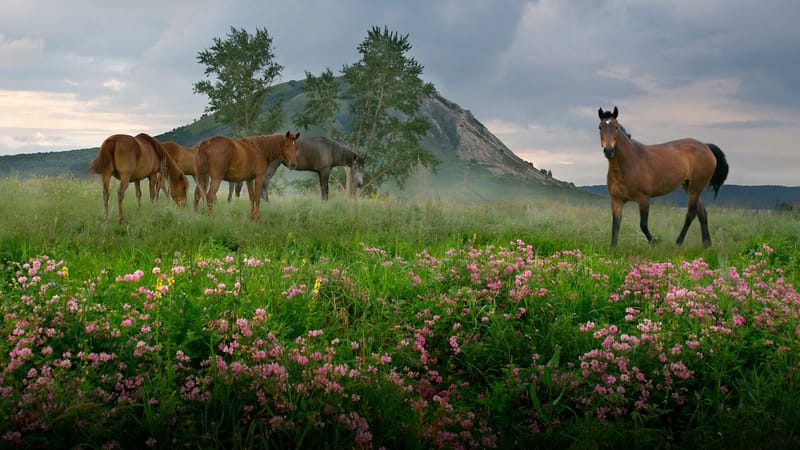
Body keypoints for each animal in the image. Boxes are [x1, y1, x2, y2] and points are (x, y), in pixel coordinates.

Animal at [598, 106, 729, 248]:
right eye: (600, 127)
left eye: (616, 127)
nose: (608, 150)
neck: (628, 163)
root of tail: (706, 146)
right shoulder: (617, 200)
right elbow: (615, 225)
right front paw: (613, 248)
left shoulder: (643, 199)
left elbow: (643, 224)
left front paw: (655, 241)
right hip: (689, 186)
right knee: (702, 213)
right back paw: (706, 244)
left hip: (696, 187)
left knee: (691, 214)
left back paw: (678, 243)